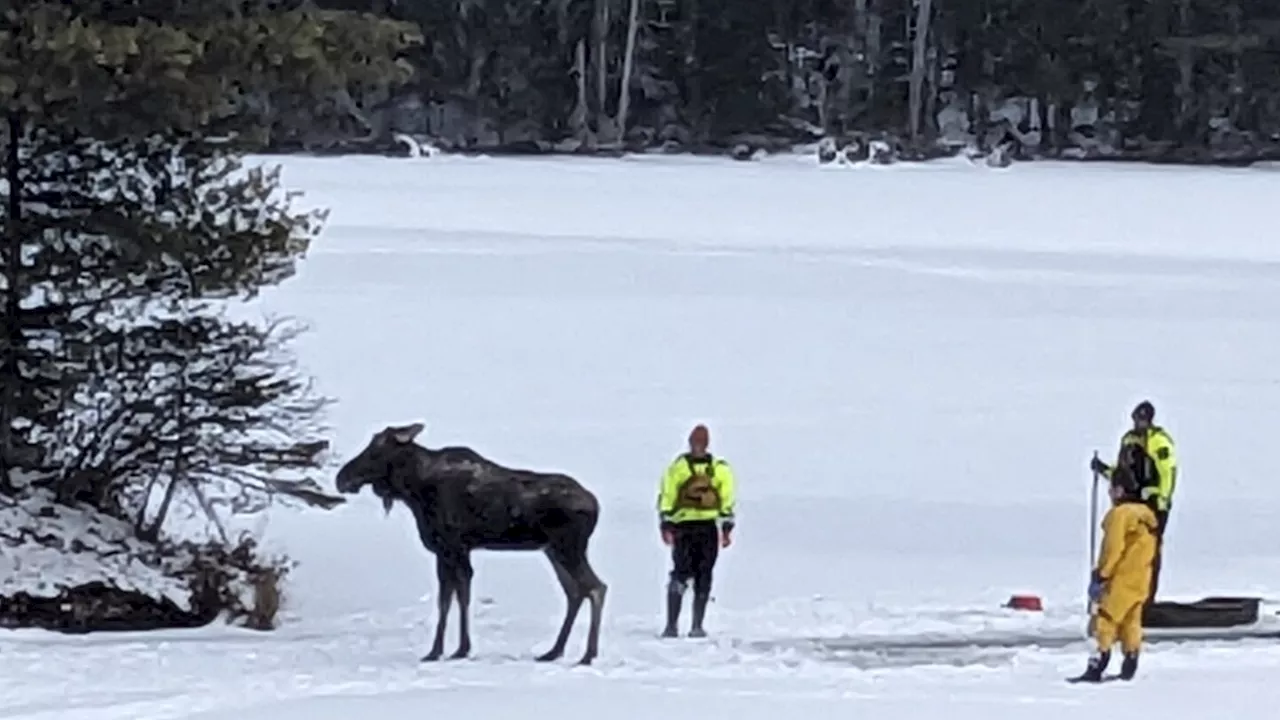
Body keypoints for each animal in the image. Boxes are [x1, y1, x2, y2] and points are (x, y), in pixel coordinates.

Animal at [332, 420, 606, 661]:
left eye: (376, 449)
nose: (341, 478)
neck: (414, 490)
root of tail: (595, 505)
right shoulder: (447, 551)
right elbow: (449, 599)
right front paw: (445, 650)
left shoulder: (453, 547)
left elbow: (457, 597)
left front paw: (453, 650)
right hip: (552, 550)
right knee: (575, 592)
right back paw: (553, 651)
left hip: (568, 548)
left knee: (595, 588)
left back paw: (587, 655)